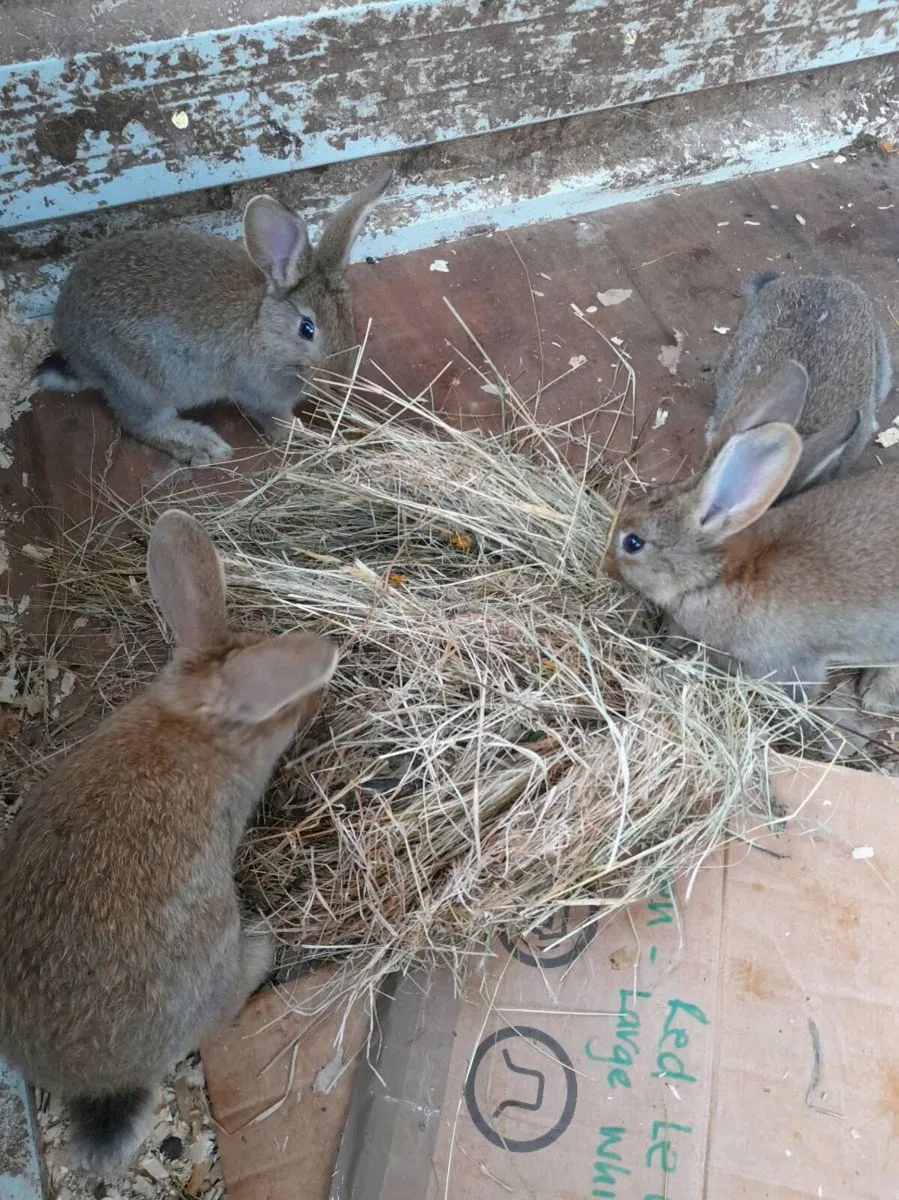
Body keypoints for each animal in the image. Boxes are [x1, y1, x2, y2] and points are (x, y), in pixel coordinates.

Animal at [0, 509, 338, 1176]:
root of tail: (98, 1083)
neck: (193, 726)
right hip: (213, 952)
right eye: (284, 708)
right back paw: (262, 947)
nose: (315, 698)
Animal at [33, 169, 393, 466]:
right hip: (137, 384)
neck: (264, 333)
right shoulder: (262, 397)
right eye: (307, 329)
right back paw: (204, 445)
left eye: (348, 316)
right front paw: (304, 435)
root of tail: (73, 350)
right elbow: (276, 422)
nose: (340, 379)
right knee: (140, 425)